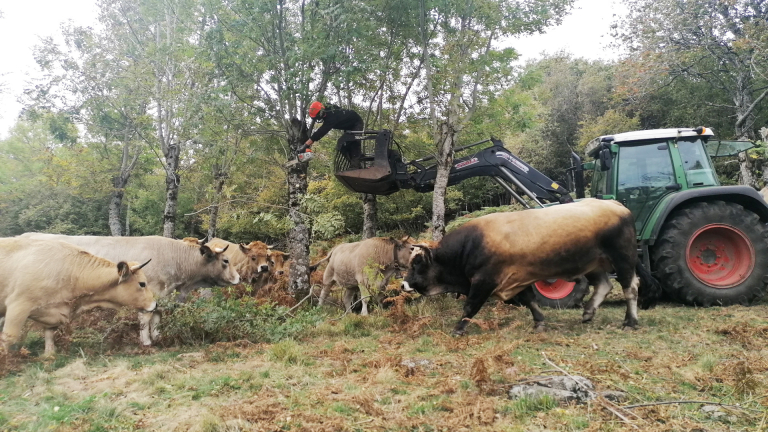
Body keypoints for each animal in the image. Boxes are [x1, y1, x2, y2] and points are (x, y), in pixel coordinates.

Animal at [0, 238, 156, 356]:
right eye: (142, 284)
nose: (155, 304)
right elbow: (8, 339)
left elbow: (49, 339)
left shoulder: (52, 316)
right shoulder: (18, 306)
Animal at [402, 197, 660, 336]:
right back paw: (588, 313)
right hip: (594, 263)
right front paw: (539, 322)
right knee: (605, 285)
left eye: (417, 264)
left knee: (630, 288)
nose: (404, 283)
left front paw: (458, 328)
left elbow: (470, 307)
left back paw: (630, 322)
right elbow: (530, 301)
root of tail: (616, 204)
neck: (472, 245)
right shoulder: (518, 277)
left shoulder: (484, 281)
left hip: (623, 258)